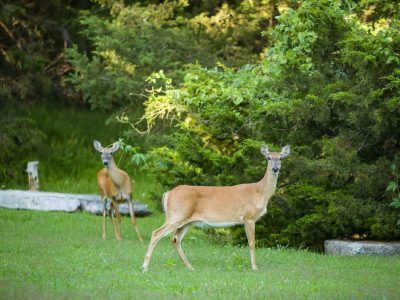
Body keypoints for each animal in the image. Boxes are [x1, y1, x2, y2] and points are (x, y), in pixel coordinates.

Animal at [141, 144, 290, 272]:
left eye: (281, 158)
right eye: (269, 157)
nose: (275, 169)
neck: (260, 192)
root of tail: (168, 194)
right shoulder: (249, 217)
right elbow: (252, 242)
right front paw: (254, 267)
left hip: (186, 220)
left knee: (175, 239)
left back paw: (190, 267)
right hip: (177, 215)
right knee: (156, 233)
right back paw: (145, 267)